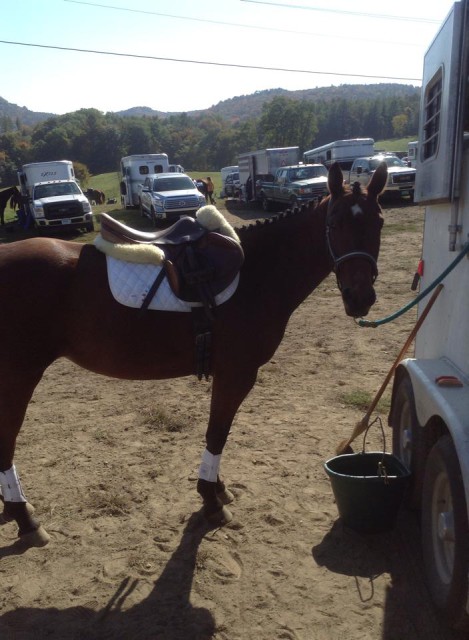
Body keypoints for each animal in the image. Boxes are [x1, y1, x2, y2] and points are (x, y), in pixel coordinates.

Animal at [0, 164, 388, 544]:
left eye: (378, 222)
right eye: (335, 224)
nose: (360, 298)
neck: (258, 271)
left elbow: (218, 434)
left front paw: (218, 488)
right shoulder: (236, 373)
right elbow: (217, 434)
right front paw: (211, 501)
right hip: (19, 376)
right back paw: (25, 518)